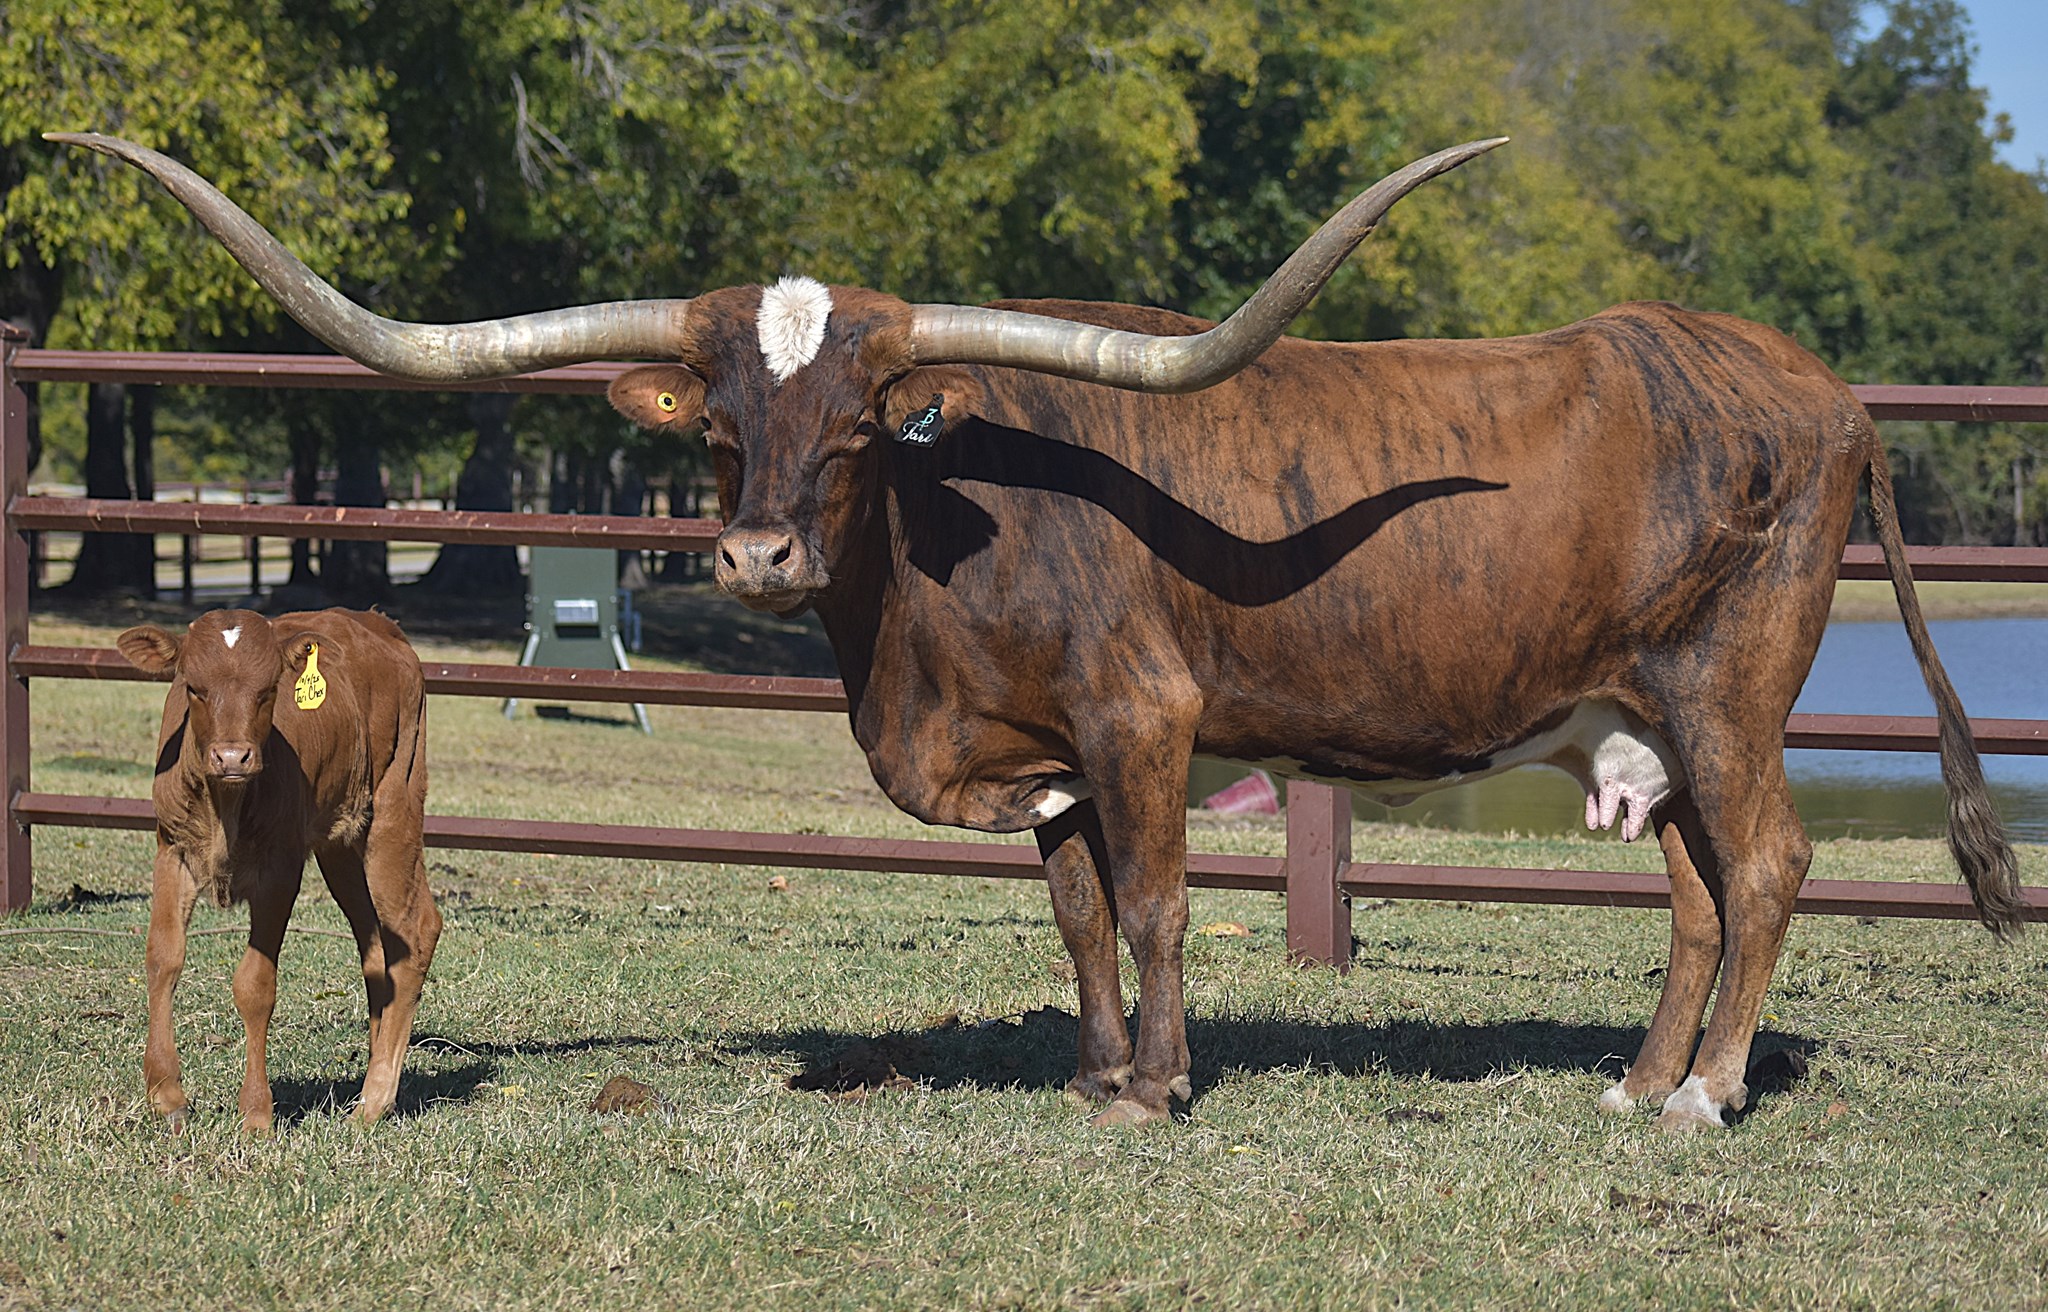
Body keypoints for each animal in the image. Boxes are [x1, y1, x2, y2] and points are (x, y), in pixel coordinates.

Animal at [116, 608, 438, 1132]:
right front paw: (167, 1094)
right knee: (376, 947)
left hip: (396, 803)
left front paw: (256, 1112)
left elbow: (255, 985)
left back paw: (374, 1099)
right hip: (341, 845)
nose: (231, 756)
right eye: (193, 687)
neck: (225, 805)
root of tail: (378, 623)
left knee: (416, 930)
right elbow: (163, 956)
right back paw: (377, 1072)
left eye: (268, 689)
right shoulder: (172, 848)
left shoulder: (280, 869)